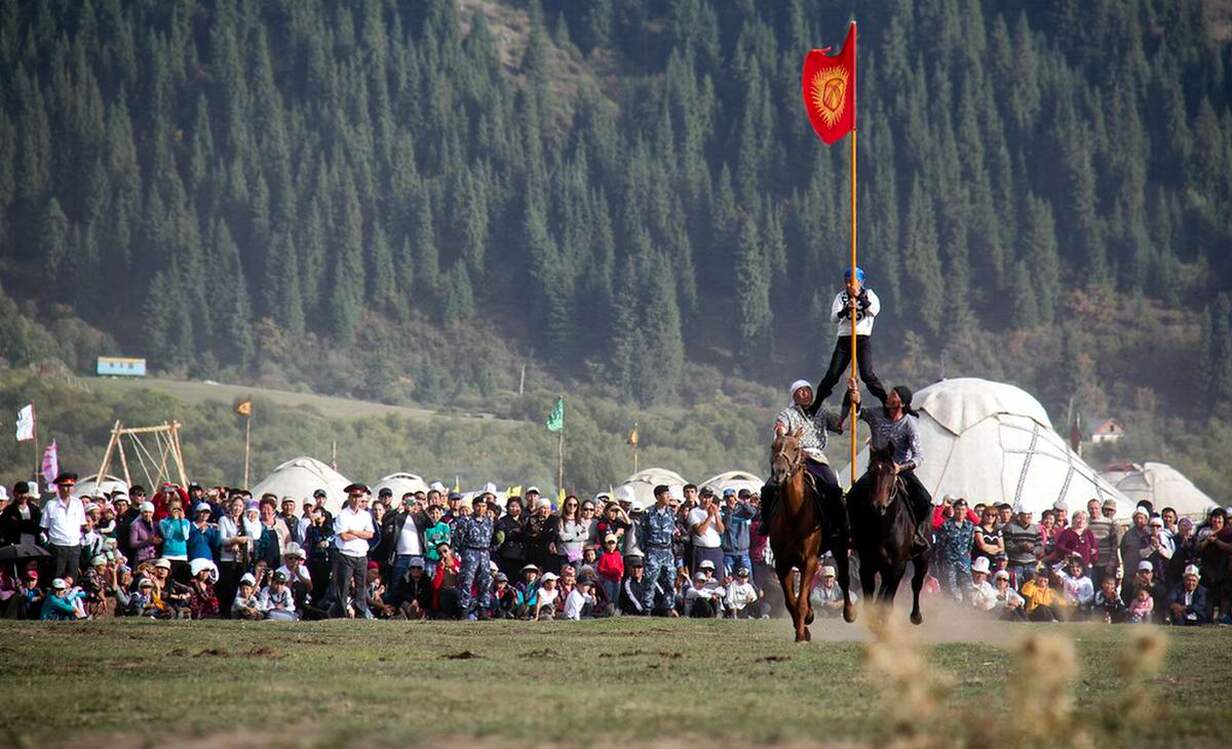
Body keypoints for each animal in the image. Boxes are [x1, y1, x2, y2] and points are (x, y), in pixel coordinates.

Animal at [768, 431, 857, 640]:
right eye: (774, 446)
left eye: (795, 448)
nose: (779, 473)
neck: (794, 515)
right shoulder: (782, 563)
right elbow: (791, 601)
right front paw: (804, 626)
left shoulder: (809, 560)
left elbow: (800, 601)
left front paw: (801, 634)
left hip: (839, 546)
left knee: (844, 578)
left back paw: (849, 613)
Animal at [852, 443, 926, 625]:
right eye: (870, 470)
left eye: (891, 472)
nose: (878, 506)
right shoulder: (867, 566)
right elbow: (870, 600)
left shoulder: (898, 567)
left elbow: (887, 602)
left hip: (922, 557)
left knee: (916, 583)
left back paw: (916, 616)